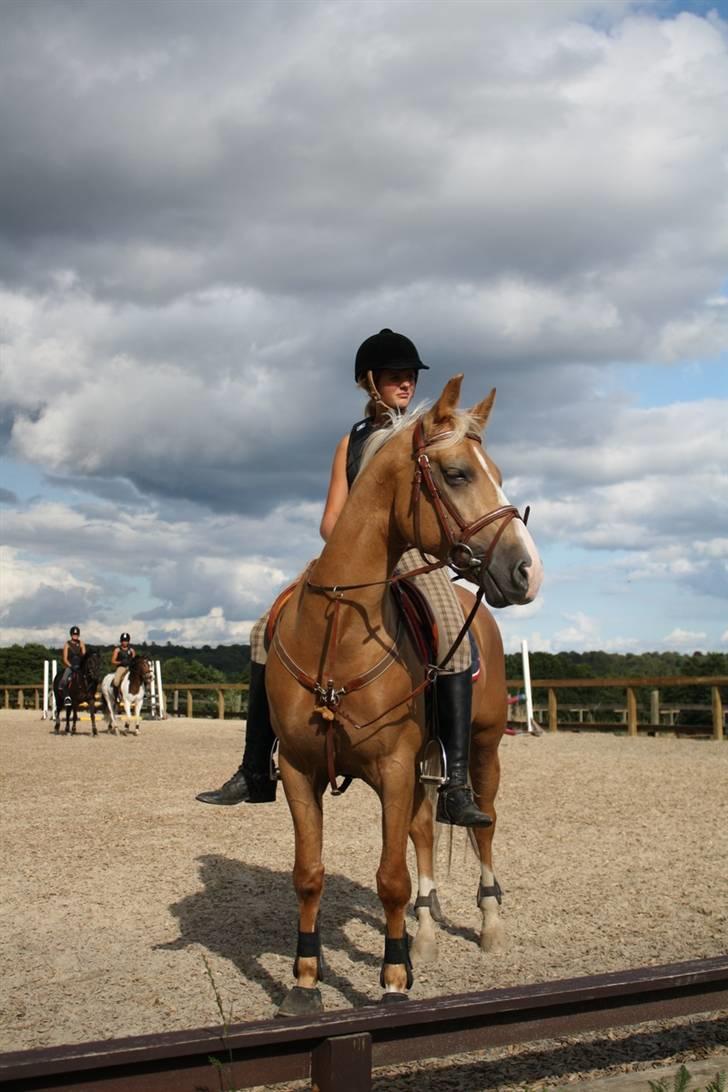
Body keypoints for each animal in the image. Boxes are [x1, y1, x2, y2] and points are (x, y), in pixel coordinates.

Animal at [266, 377, 541, 1013]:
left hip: (482, 750)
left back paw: (488, 924)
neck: (339, 632)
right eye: (458, 474)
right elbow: (309, 873)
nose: (527, 571)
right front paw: (305, 980)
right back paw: (426, 931)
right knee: (422, 832)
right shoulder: (298, 771)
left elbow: (390, 877)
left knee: (482, 824)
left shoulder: (392, 767)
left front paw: (392, 981)